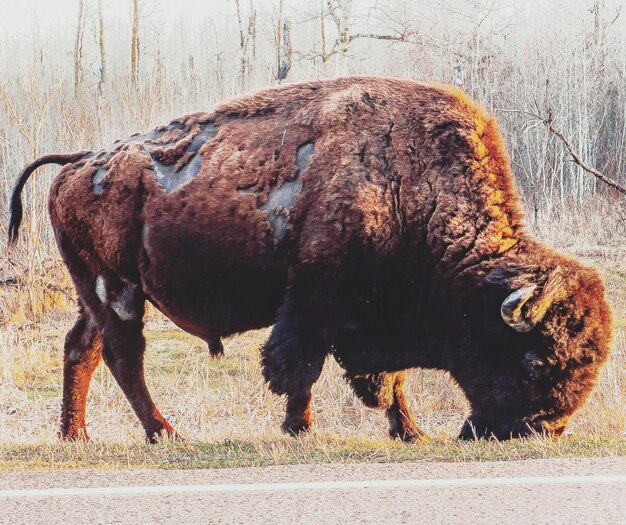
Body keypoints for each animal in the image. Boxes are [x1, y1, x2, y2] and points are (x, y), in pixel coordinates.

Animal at [8, 75, 608, 440]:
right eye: (536, 360)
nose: (542, 430)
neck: (408, 185)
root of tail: (80, 161)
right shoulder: (314, 298)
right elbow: (300, 365)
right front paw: (301, 427)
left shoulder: (375, 316)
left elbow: (387, 379)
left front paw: (410, 432)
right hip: (119, 289)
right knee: (123, 356)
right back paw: (165, 433)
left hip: (93, 293)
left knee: (81, 350)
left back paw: (76, 435)